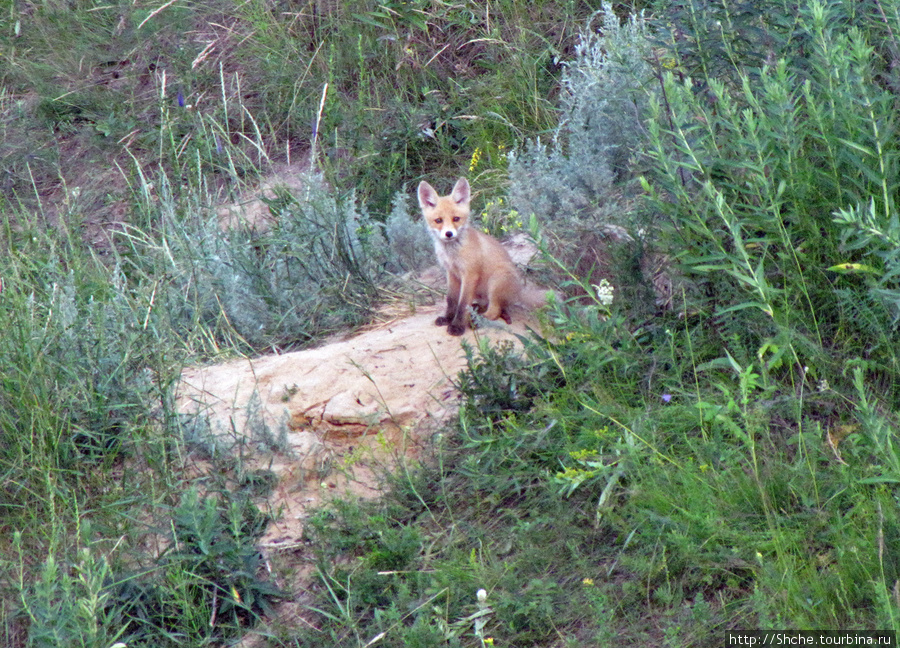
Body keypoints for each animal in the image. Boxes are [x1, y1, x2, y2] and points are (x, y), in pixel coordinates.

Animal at [414, 178, 520, 340]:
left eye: (456, 219)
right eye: (438, 220)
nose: (449, 234)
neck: (452, 253)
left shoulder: (470, 274)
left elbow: (462, 304)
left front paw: (457, 326)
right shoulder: (451, 273)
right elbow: (451, 300)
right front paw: (448, 318)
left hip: (496, 281)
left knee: (495, 311)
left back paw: (479, 320)